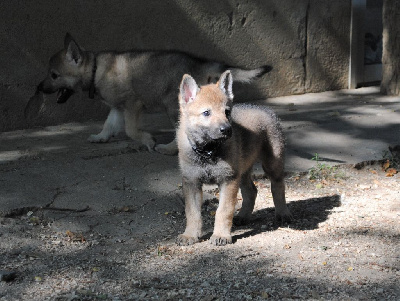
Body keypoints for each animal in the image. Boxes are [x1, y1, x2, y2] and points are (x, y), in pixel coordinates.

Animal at [34, 34, 272, 154]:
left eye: (54, 75)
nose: (39, 88)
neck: (94, 70)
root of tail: (201, 64)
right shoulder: (118, 108)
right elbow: (109, 125)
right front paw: (101, 137)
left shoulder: (132, 104)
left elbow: (130, 130)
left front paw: (147, 140)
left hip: (172, 106)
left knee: (180, 130)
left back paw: (168, 148)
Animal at [177, 71, 292, 246]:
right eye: (206, 113)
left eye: (227, 112)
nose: (227, 129)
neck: (208, 152)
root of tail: (264, 108)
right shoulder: (192, 182)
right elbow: (192, 213)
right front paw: (190, 235)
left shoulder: (228, 180)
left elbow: (223, 211)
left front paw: (221, 235)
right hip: (243, 172)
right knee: (251, 191)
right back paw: (243, 216)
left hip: (272, 165)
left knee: (278, 187)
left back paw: (283, 213)